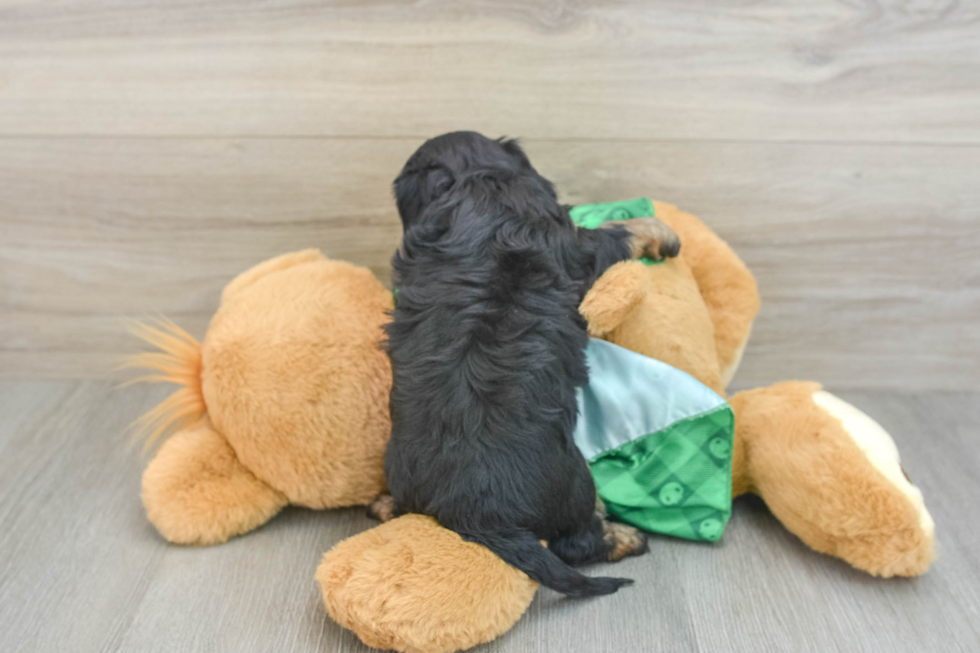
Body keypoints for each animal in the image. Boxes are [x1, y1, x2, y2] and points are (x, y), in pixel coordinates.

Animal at [378, 131, 676, 596]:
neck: (472, 181)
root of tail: (474, 513)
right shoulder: (577, 244)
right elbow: (618, 232)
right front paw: (661, 232)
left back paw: (384, 504)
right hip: (573, 482)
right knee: (574, 544)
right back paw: (623, 537)